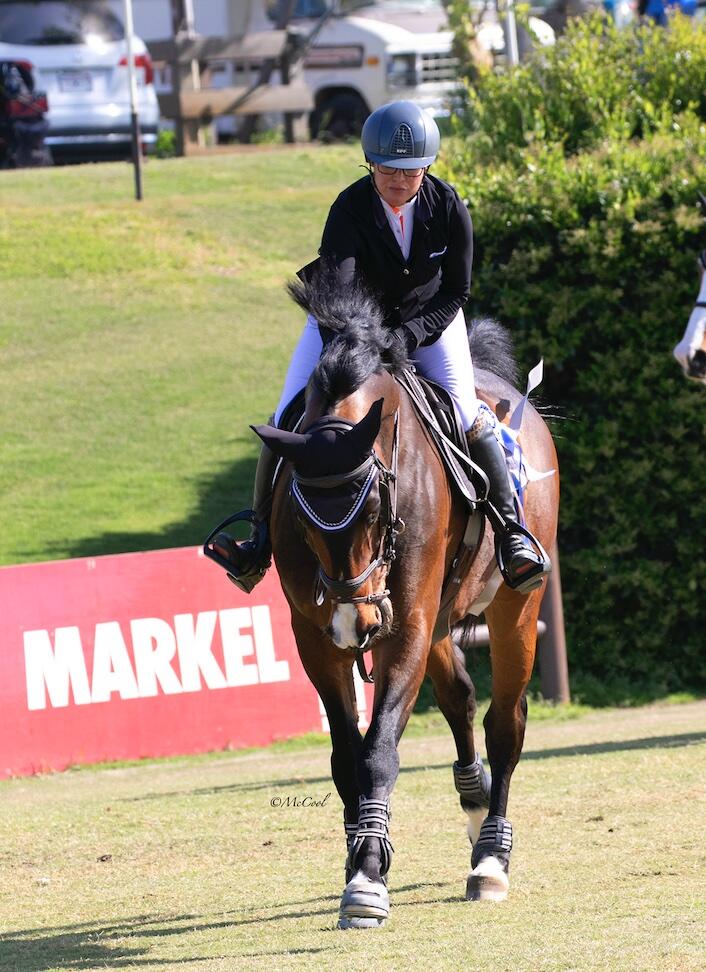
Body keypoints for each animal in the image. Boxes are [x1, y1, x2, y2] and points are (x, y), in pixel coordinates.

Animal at [254, 272, 560, 928]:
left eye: (374, 508)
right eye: (301, 513)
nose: (359, 617)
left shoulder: (406, 628)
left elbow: (378, 752)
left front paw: (367, 880)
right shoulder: (317, 638)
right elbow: (347, 757)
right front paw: (361, 860)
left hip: (514, 608)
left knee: (504, 722)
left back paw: (491, 858)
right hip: (441, 621)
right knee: (461, 700)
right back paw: (473, 806)